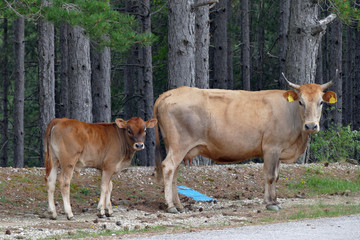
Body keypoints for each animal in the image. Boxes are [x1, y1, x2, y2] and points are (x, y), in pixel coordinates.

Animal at [154, 71, 338, 214]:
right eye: (301, 101)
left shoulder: (279, 151)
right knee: (168, 167)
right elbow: (270, 176)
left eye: (321, 102)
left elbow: (277, 176)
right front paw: (270, 203)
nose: (311, 126)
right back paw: (171, 206)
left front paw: (276, 200)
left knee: (174, 172)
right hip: (179, 145)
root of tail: (171, 93)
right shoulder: (271, 148)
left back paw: (179, 205)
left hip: (176, 146)